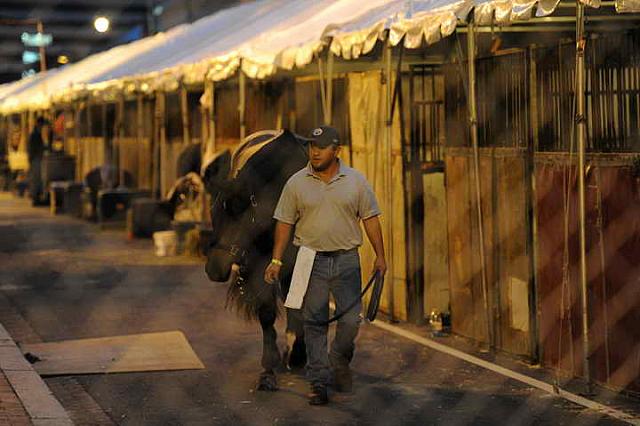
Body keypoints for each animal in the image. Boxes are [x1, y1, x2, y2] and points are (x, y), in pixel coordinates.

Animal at [202, 129, 308, 390]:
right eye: (213, 211)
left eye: (241, 214)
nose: (214, 269)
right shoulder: (257, 264)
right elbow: (266, 311)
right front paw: (269, 368)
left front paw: (297, 354)